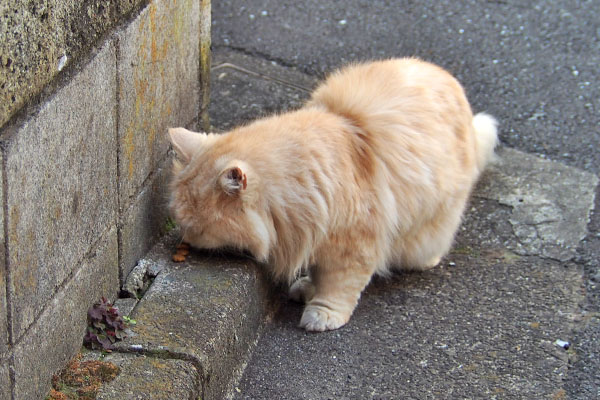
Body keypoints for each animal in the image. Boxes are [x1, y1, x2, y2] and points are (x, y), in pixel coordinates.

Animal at [168, 56, 496, 332]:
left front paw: (322, 314)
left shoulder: (353, 244)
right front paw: (306, 288)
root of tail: (449, 79)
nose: (186, 239)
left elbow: (338, 285)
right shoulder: (312, 231)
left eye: (197, 227)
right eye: (183, 224)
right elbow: (317, 272)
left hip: (432, 222)